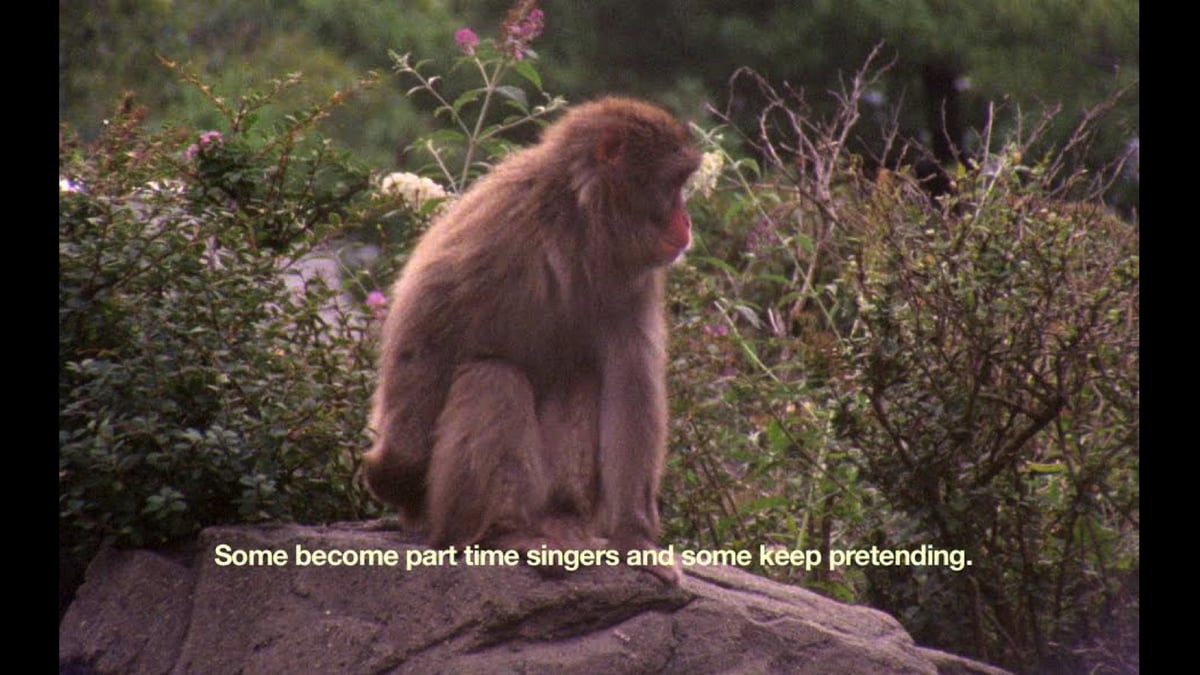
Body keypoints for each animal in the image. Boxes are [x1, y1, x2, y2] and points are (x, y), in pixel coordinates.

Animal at [363, 97, 701, 582]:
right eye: (674, 184)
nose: (686, 222)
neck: (578, 224)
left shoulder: (633, 279)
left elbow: (631, 382)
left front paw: (635, 539)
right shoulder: (499, 223)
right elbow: (425, 336)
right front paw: (396, 472)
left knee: (578, 375)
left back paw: (559, 519)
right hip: (443, 513)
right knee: (493, 377)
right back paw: (504, 530)